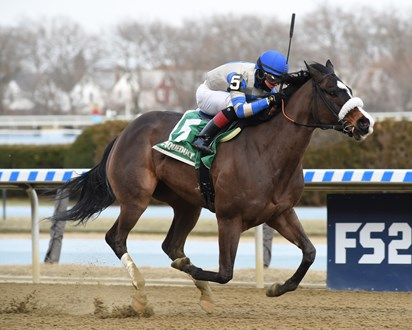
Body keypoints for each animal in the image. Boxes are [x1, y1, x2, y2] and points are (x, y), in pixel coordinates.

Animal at [53, 59, 374, 314]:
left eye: (348, 88)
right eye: (332, 91)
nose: (364, 123)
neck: (267, 151)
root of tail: (125, 131)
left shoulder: (280, 213)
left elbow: (310, 253)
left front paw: (276, 288)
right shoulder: (228, 218)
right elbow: (225, 273)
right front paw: (189, 269)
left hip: (187, 204)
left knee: (172, 245)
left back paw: (202, 292)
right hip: (136, 199)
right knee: (116, 238)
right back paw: (142, 293)